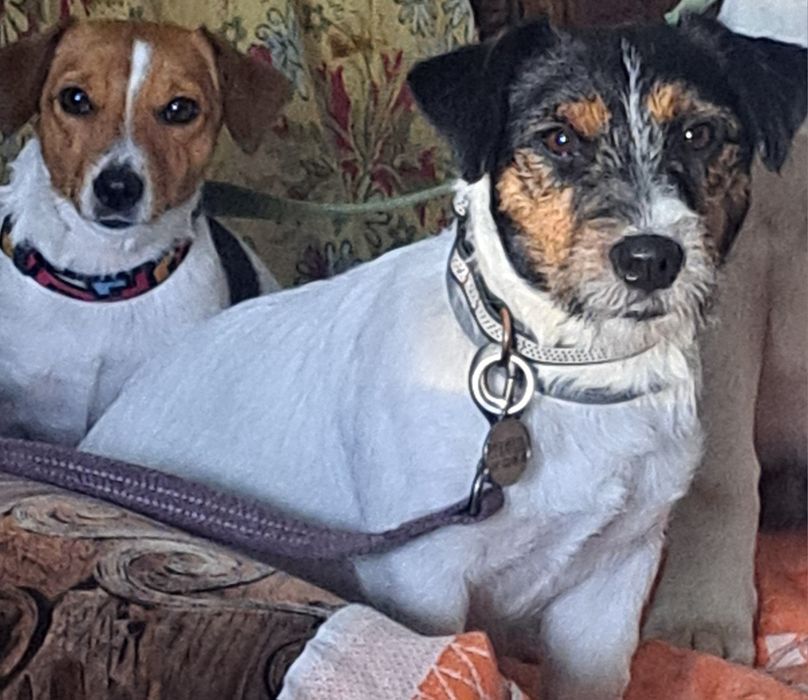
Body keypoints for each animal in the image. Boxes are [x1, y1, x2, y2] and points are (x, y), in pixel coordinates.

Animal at [79, 17, 806, 699]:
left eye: (699, 135)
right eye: (559, 140)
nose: (651, 258)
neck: (571, 372)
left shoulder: (611, 583)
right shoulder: (421, 582)